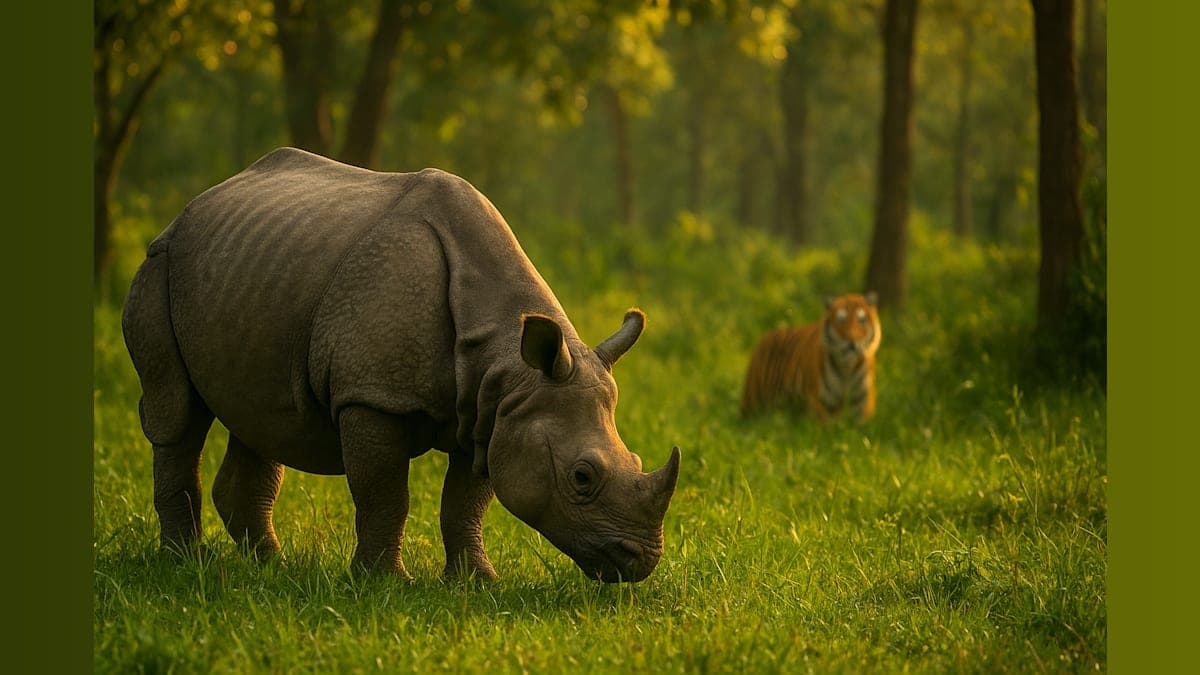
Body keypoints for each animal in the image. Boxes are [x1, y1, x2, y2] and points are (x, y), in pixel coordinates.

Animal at [121, 147, 681, 583]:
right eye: (582, 477)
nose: (639, 562)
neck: (508, 359)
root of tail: (196, 203)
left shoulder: (493, 407)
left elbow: (465, 502)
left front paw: (476, 583)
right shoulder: (374, 397)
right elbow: (385, 493)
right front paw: (385, 583)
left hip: (252, 270)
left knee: (261, 416)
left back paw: (269, 568)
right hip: (160, 263)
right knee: (177, 413)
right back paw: (184, 564)